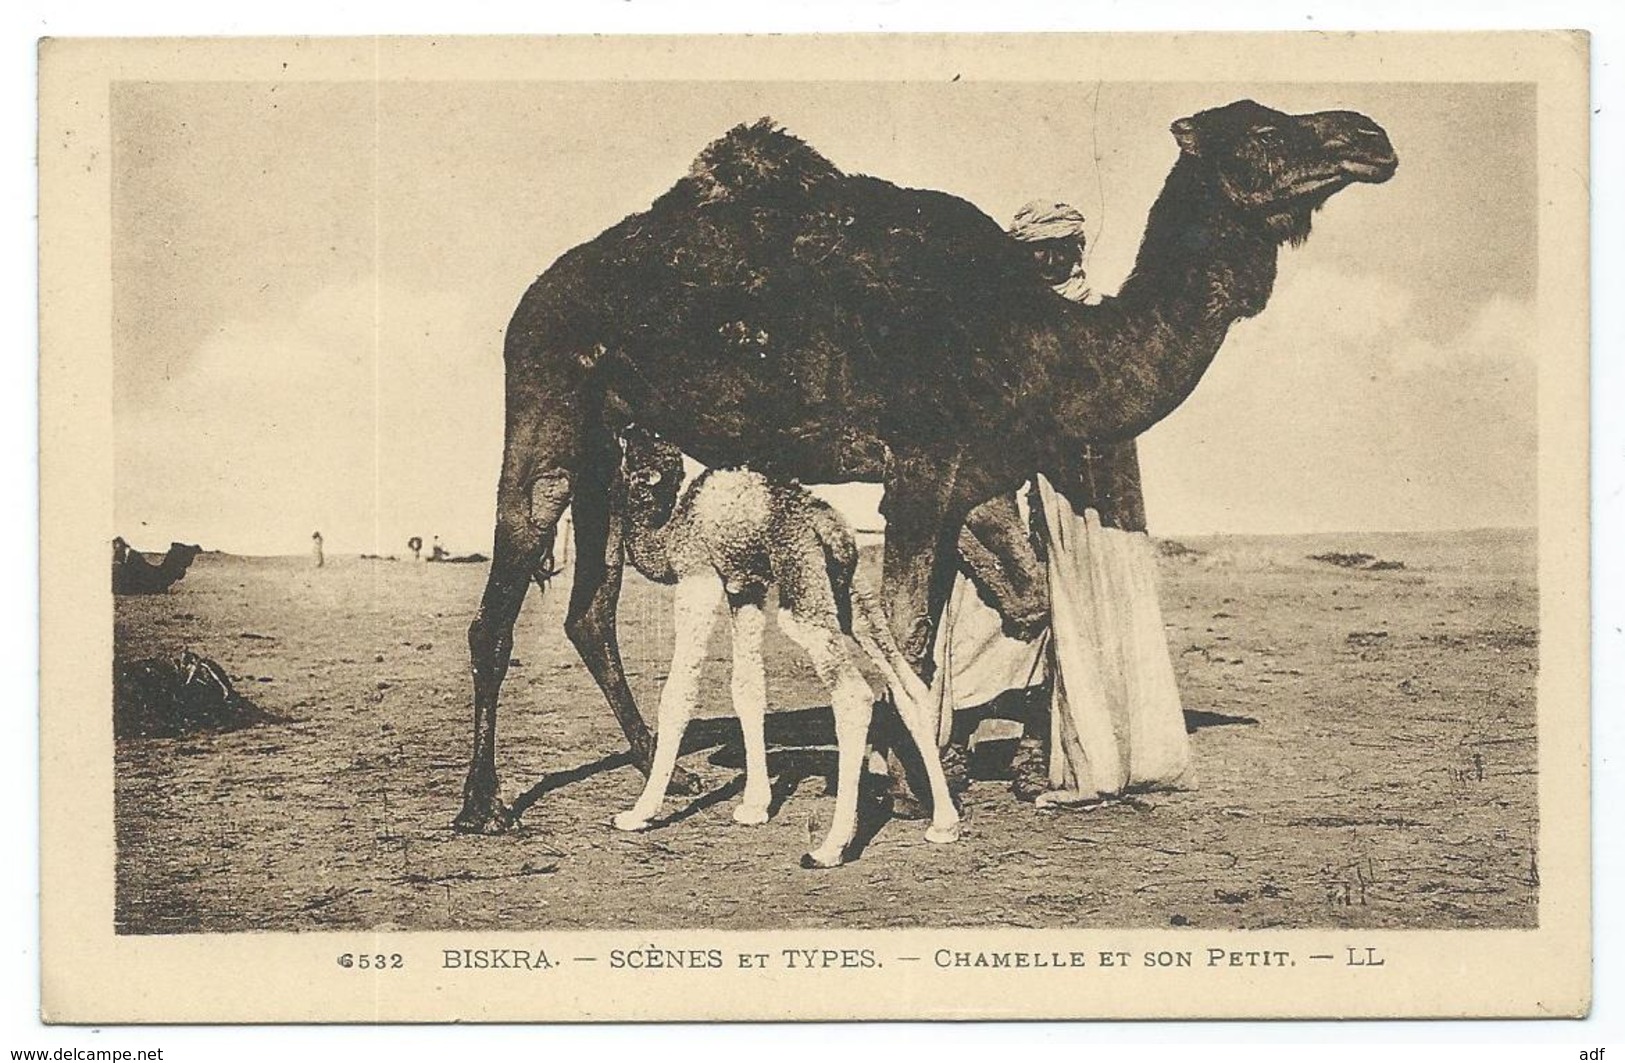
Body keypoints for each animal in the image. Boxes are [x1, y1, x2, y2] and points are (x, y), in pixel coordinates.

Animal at [614, 429, 955, 871]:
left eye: (634, 451)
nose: (622, 430)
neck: (673, 520)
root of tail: (832, 528)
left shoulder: (698, 574)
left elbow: (678, 695)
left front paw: (639, 814)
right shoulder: (746, 588)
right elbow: (747, 689)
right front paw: (755, 807)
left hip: (802, 592)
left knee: (853, 694)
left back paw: (829, 849)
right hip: (849, 595)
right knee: (907, 684)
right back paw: (944, 824)